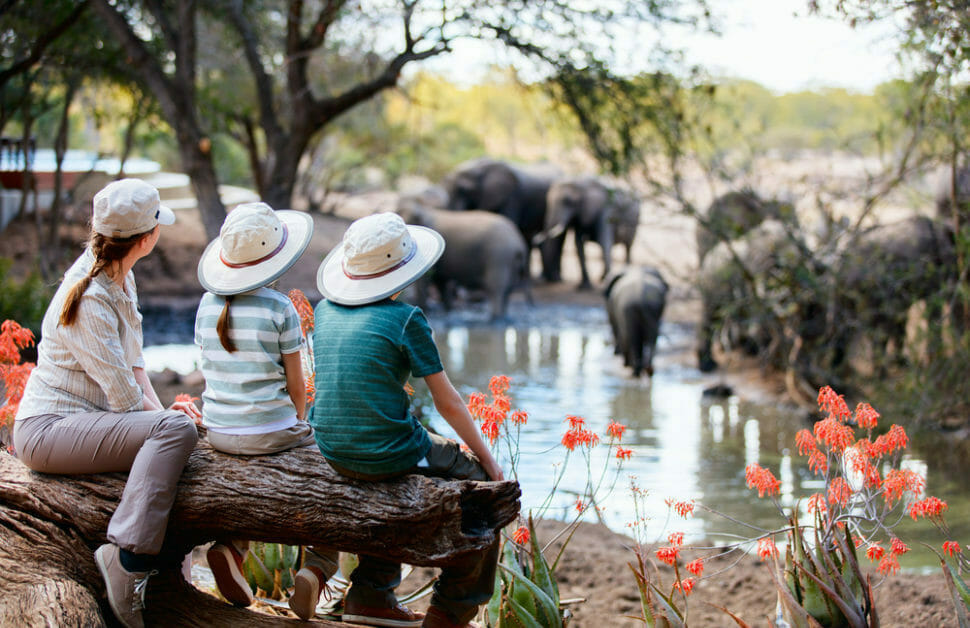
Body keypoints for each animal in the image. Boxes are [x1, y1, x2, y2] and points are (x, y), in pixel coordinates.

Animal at [394, 201, 528, 318]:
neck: (423, 209)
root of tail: (519, 243)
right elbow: (440, 280)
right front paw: (448, 310)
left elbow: (428, 280)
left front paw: (428, 310)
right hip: (509, 261)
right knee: (508, 289)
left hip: (499, 256)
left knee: (496, 288)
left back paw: (495, 318)